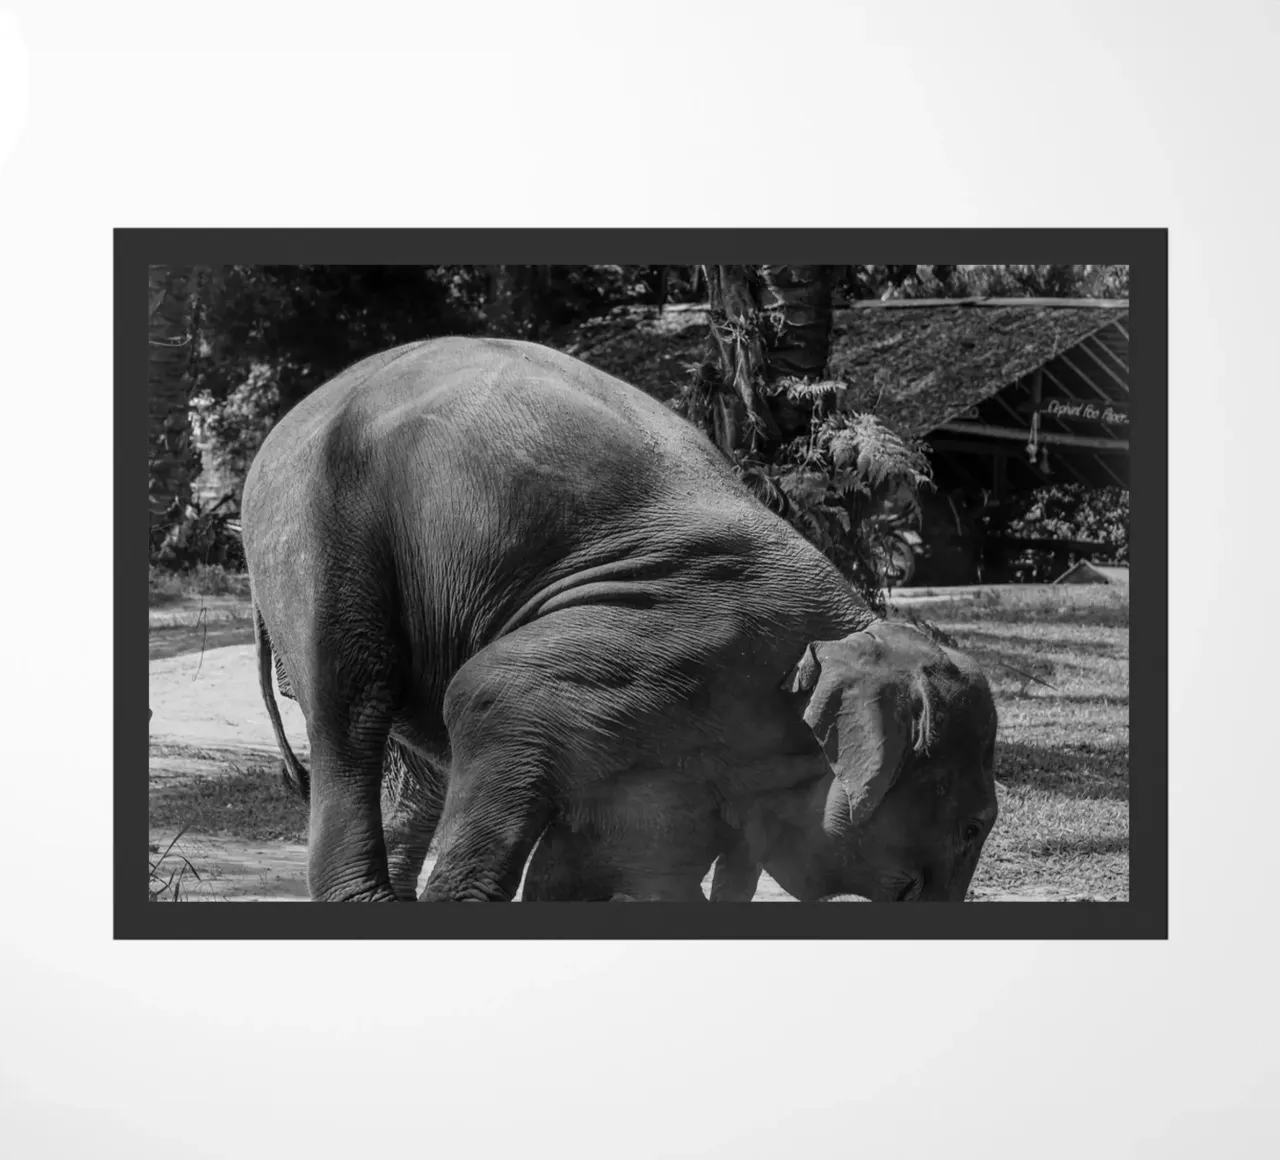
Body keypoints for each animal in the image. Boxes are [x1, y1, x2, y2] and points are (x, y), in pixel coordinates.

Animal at [242, 336, 998, 902]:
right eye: (972, 827)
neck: (848, 629)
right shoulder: (665, 644)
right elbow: (488, 695)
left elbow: (618, 854)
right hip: (317, 532)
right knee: (354, 704)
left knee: (421, 766)